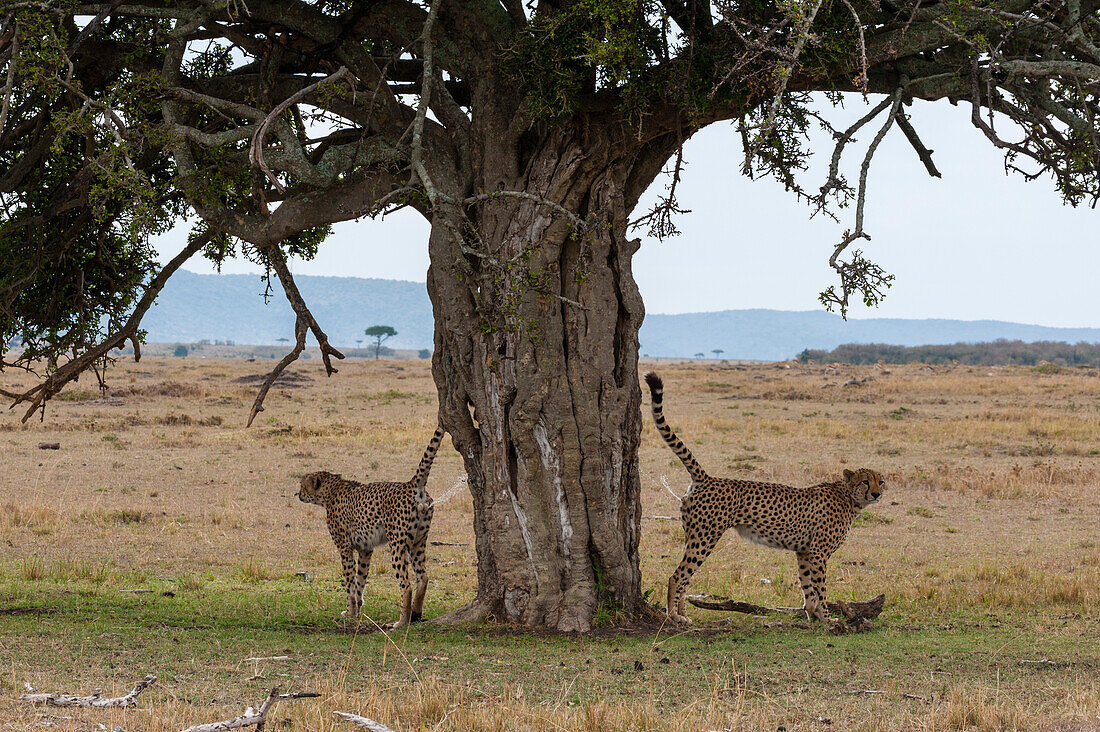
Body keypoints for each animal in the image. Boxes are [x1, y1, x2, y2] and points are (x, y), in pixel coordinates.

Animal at [297, 429, 446, 629]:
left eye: (302, 486)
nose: (298, 494)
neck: (331, 491)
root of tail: (411, 484)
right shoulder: (365, 548)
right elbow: (360, 580)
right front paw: (357, 610)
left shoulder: (344, 547)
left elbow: (349, 582)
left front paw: (350, 611)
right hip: (419, 541)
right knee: (423, 578)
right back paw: (416, 614)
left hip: (397, 544)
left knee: (406, 585)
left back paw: (401, 622)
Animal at [642, 374, 884, 625]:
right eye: (865, 482)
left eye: (881, 481)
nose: (877, 494)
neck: (850, 499)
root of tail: (709, 478)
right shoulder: (818, 553)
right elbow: (821, 589)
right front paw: (827, 619)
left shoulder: (804, 552)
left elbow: (807, 586)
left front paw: (813, 615)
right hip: (705, 537)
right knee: (676, 576)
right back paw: (672, 616)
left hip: (693, 535)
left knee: (686, 577)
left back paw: (683, 614)